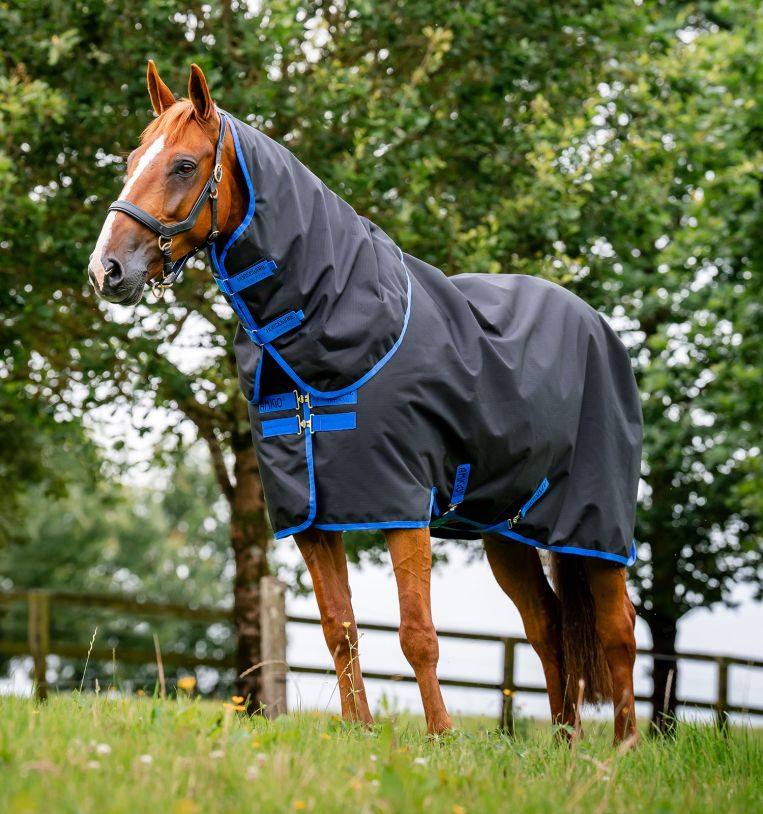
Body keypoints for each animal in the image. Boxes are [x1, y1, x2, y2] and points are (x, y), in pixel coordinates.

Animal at [89, 62, 641, 743]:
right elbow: (339, 628)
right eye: (133, 158)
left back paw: (622, 749)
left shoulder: (401, 504)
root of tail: (597, 325)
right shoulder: (311, 516)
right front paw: (362, 734)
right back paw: (566, 746)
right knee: (547, 626)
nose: (106, 270)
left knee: (618, 630)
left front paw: (439, 739)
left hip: (595, 524)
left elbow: (417, 633)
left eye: (185, 165)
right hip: (505, 529)